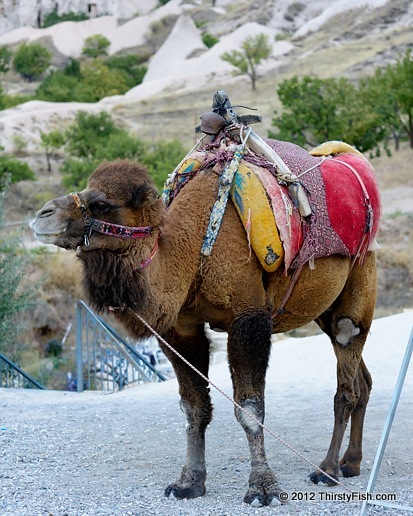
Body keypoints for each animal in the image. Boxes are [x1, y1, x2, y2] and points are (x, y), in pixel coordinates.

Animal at [31, 99, 380, 506]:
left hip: (360, 281)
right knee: (362, 380)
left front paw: (262, 487)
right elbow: (194, 409)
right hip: (323, 310)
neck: (193, 247)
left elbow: (249, 409)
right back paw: (351, 462)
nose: (42, 216)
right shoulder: (180, 329)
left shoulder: (248, 318)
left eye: (101, 203)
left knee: (346, 377)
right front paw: (188, 482)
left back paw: (327, 470)